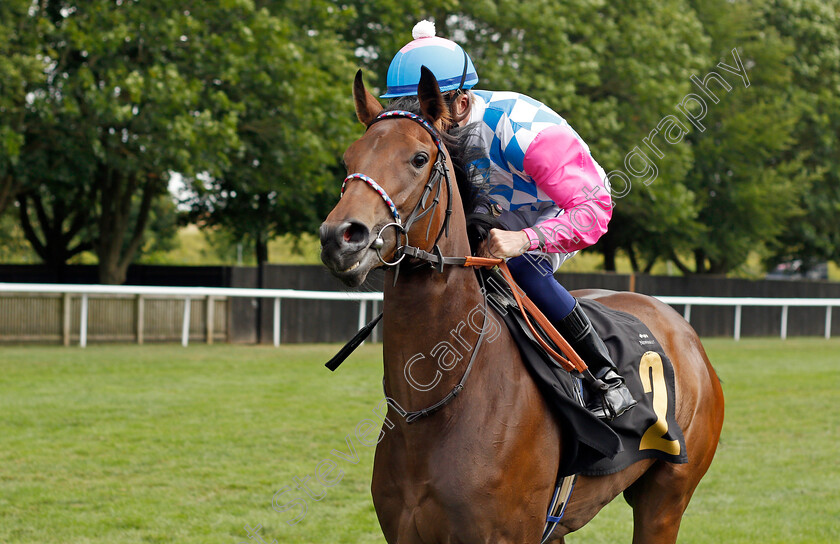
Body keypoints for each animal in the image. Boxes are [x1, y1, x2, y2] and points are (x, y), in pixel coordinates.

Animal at [318, 69, 724, 544]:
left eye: (419, 158)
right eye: (349, 158)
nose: (341, 237)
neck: (434, 407)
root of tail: (685, 331)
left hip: (666, 496)